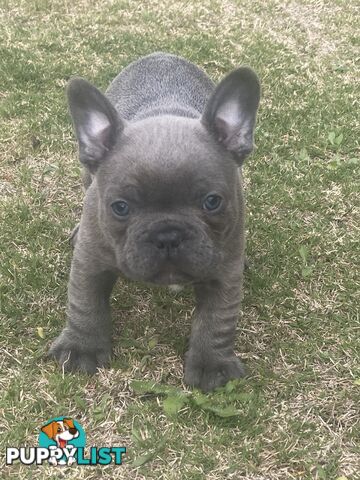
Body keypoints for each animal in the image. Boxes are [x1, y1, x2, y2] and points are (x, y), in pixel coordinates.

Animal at [49, 51, 260, 394]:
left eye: (212, 202)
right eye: (120, 207)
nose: (168, 235)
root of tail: (162, 56)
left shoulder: (223, 274)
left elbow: (217, 321)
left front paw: (212, 364)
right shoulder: (90, 262)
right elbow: (84, 303)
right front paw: (82, 348)